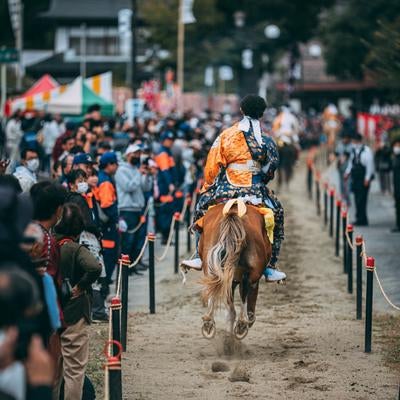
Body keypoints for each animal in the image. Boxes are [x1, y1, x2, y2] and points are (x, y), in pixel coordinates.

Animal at [198, 198, 270, 340]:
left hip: (215, 264)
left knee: (213, 283)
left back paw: (209, 323)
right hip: (250, 272)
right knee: (245, 292)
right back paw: (242, 325)